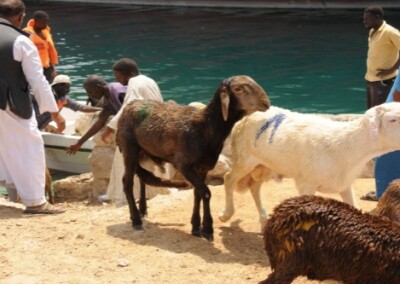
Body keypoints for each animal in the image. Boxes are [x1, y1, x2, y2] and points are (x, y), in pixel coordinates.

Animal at [117, 75, 270, 240]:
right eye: (238, 89)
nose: (266, 103)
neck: (204, 127)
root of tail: (129, 105)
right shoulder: (183, 165)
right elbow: (206, 193)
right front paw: (208, 229)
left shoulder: (203, 167)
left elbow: (198, 194)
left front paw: (196, 227)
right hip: (129, 148)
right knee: (127, 182)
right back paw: (136, 220)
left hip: (143, 153)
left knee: (142, 178)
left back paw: (142, 211)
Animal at [219, 103, 400, 227]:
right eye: (392, 119)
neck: (347, 144)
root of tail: (248, 116)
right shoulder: (306, 183)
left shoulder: (344, 184)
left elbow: (354, 206)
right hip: (245, 159)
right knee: (229, 179)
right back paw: (226, 214)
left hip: (265, 165)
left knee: (255, 187)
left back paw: (263, 219)